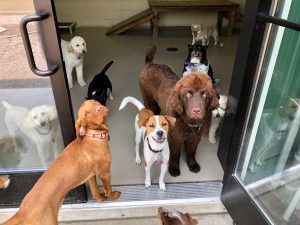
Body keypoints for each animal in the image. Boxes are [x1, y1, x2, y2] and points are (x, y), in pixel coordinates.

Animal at [139, 44, 219, 178]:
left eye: (205, 94)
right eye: (188, 94)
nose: (196, 110)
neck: (190, 123)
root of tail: (150, 64)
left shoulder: (195, 138)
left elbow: (191, 152)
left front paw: (192, 165)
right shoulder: (175, 138)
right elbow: (175, 155)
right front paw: (174, 169)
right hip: (149, 101)